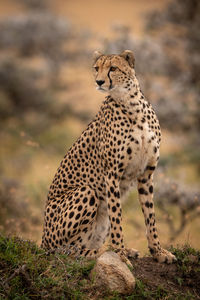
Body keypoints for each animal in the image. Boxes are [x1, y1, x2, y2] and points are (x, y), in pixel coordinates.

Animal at [41, 50, 176, 266]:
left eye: (113, 68)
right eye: (97, 68)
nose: (99, 81)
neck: (131, 104)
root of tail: (43, 241)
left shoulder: (147, 174)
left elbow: (150, 216)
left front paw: (158, 251)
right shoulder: (112, 174)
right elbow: (117, 217)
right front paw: (119, 254)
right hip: (85, 193)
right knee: (66, 251)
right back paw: (104, 252)